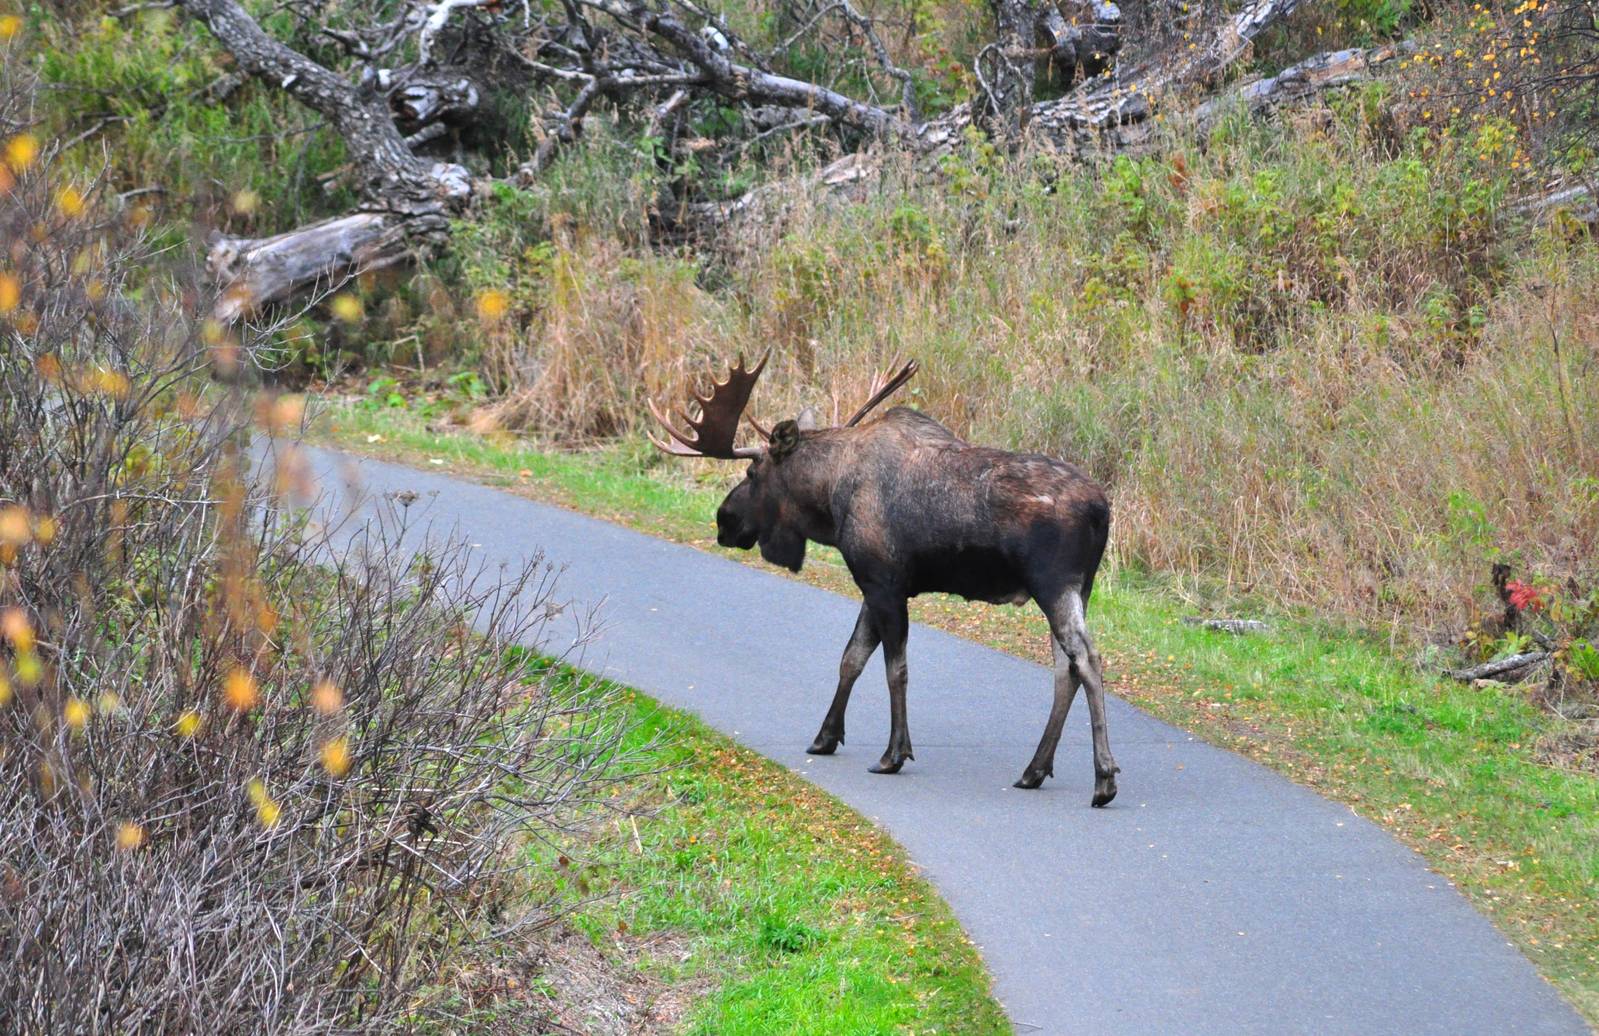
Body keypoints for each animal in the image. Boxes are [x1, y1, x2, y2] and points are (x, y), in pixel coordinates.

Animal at [650, 355, 1119, 806]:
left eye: (752, 474)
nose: (723, 521)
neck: (829, 500)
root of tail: (1102, 510)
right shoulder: (874, 583)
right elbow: (851, 657)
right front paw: (825, 736)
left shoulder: (884, 582)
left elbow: (895, 670)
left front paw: (893, 754)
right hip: (1080, 589)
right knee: (1064, 669)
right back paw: (1034, 770)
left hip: (1054, 584)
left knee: (1087, 659)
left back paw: (1103, 779)